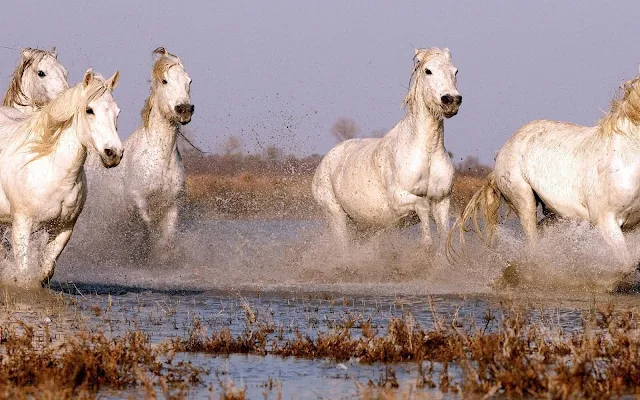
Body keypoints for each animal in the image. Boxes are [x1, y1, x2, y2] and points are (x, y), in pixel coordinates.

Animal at [0, 69, 121, 288]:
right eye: (89, 110)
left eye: (117, 112)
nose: (113, 153)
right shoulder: (22, 224)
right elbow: (23, 271)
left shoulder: (64, 229)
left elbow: (45, 271)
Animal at [122, 47, 192, 258]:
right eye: (164, 81)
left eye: (189, 81)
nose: (185, 109)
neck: (161, 158)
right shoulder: (137, 198)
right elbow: (147, 226)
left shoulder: (173, 205)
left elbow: (167, 238)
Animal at [312, 47, 458, 250]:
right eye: (428, 71)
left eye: (455, 71)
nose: (451, 100)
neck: (426, 151)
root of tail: (325, 160)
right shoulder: (398, 199)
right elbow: (422, 205)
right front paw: (425, 243)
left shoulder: (441, 201)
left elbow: (444, 234)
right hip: (337, 217)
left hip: (362, 227)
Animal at [450, 67, 640, 290]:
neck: (626, 157)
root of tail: (506, 147)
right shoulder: (605, 220)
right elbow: (627, 263)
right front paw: (604, 283)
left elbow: (632, 262)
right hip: (524, 200)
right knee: (533, 246)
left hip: (553, 212)